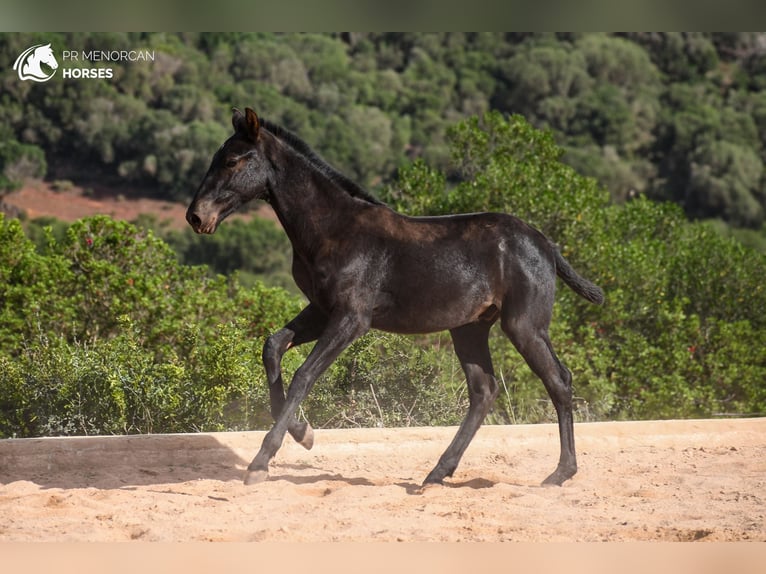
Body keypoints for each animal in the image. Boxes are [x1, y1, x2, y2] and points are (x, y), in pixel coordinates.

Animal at [188, 107, 608, 486]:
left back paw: (560, 473)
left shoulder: (352, 318)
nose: (196, 216)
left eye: (232, 160)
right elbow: (273, 347)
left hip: (524, 325)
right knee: (484, 391)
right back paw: (437, 473)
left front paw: (261, 461)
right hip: (469, 329)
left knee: (559, 381)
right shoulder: (323, 309)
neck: (333, 228)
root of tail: (546, 244)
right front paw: (304, 433)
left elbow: (304, 375)